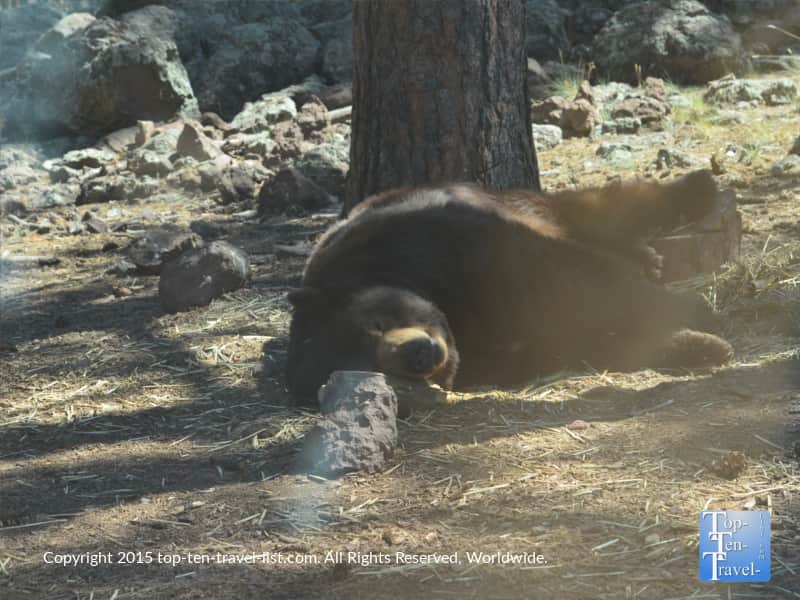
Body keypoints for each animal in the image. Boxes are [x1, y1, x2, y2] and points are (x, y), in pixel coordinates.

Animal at [286, 171, 733, 401]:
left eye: (376, 323)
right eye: (375, 372)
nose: (417, 355)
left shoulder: (437, 243)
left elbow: (571, 280)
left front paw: (695, 311)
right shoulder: (493, 355)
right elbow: (571, 338)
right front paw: (695, 343)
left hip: (504, 200)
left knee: (596, 208)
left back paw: (693, 191)